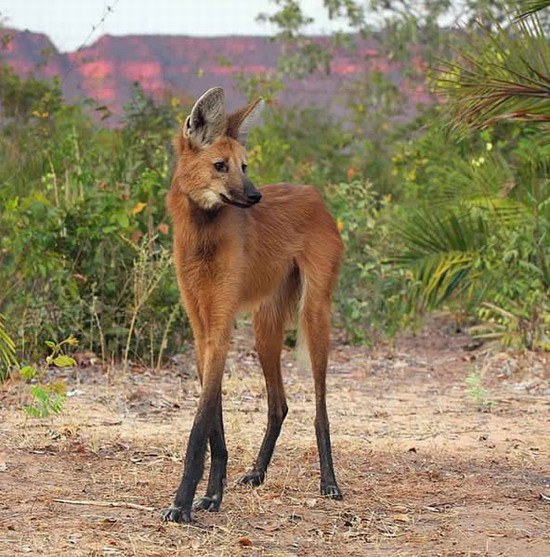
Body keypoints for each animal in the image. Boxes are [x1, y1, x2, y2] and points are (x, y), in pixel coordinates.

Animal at [162, 87, 344, 520]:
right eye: (220, 166)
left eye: (244, 166)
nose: (255, 195)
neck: (202, 236)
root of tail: (314, 194)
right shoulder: (201, 329)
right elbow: (213, 421)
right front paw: (211, 496)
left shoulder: (221, 324)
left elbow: (199, 426)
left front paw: (182, 504)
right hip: (265, 328)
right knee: (279, 405)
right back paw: (257, 472)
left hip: (313, 315)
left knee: (320, 408)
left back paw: (329, 482)